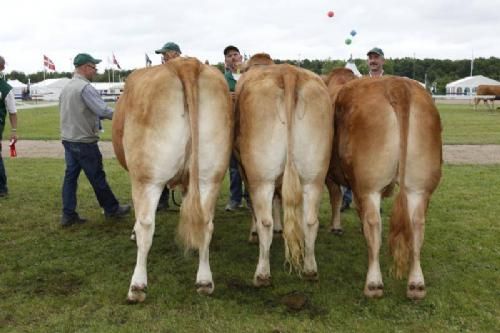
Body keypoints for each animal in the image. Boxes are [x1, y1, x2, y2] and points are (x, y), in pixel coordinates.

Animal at [112, 56, 231, 300]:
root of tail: (185, 63)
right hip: (209, 176)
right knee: (206, 222)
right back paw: (204, 281)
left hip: (147, 177)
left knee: (146, 225)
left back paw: (137, 286)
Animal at [235, 53, 334, 282]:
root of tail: (289, 72)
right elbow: (280, 199)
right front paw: (282, 229)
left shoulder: (245, 172)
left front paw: (253, 233)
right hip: (314, 176)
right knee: (310, 221)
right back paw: (310, 269)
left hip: (261, 176)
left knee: (265, 221)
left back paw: (262, 273)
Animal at [324, 72, 442, 298]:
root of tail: (397, 85)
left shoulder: (331, 176)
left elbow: (336, 197)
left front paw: (336, 227)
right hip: (420, 185)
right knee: (417, 224)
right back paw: (416, 284)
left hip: (368, 185)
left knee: (373, 223)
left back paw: (373, 283)